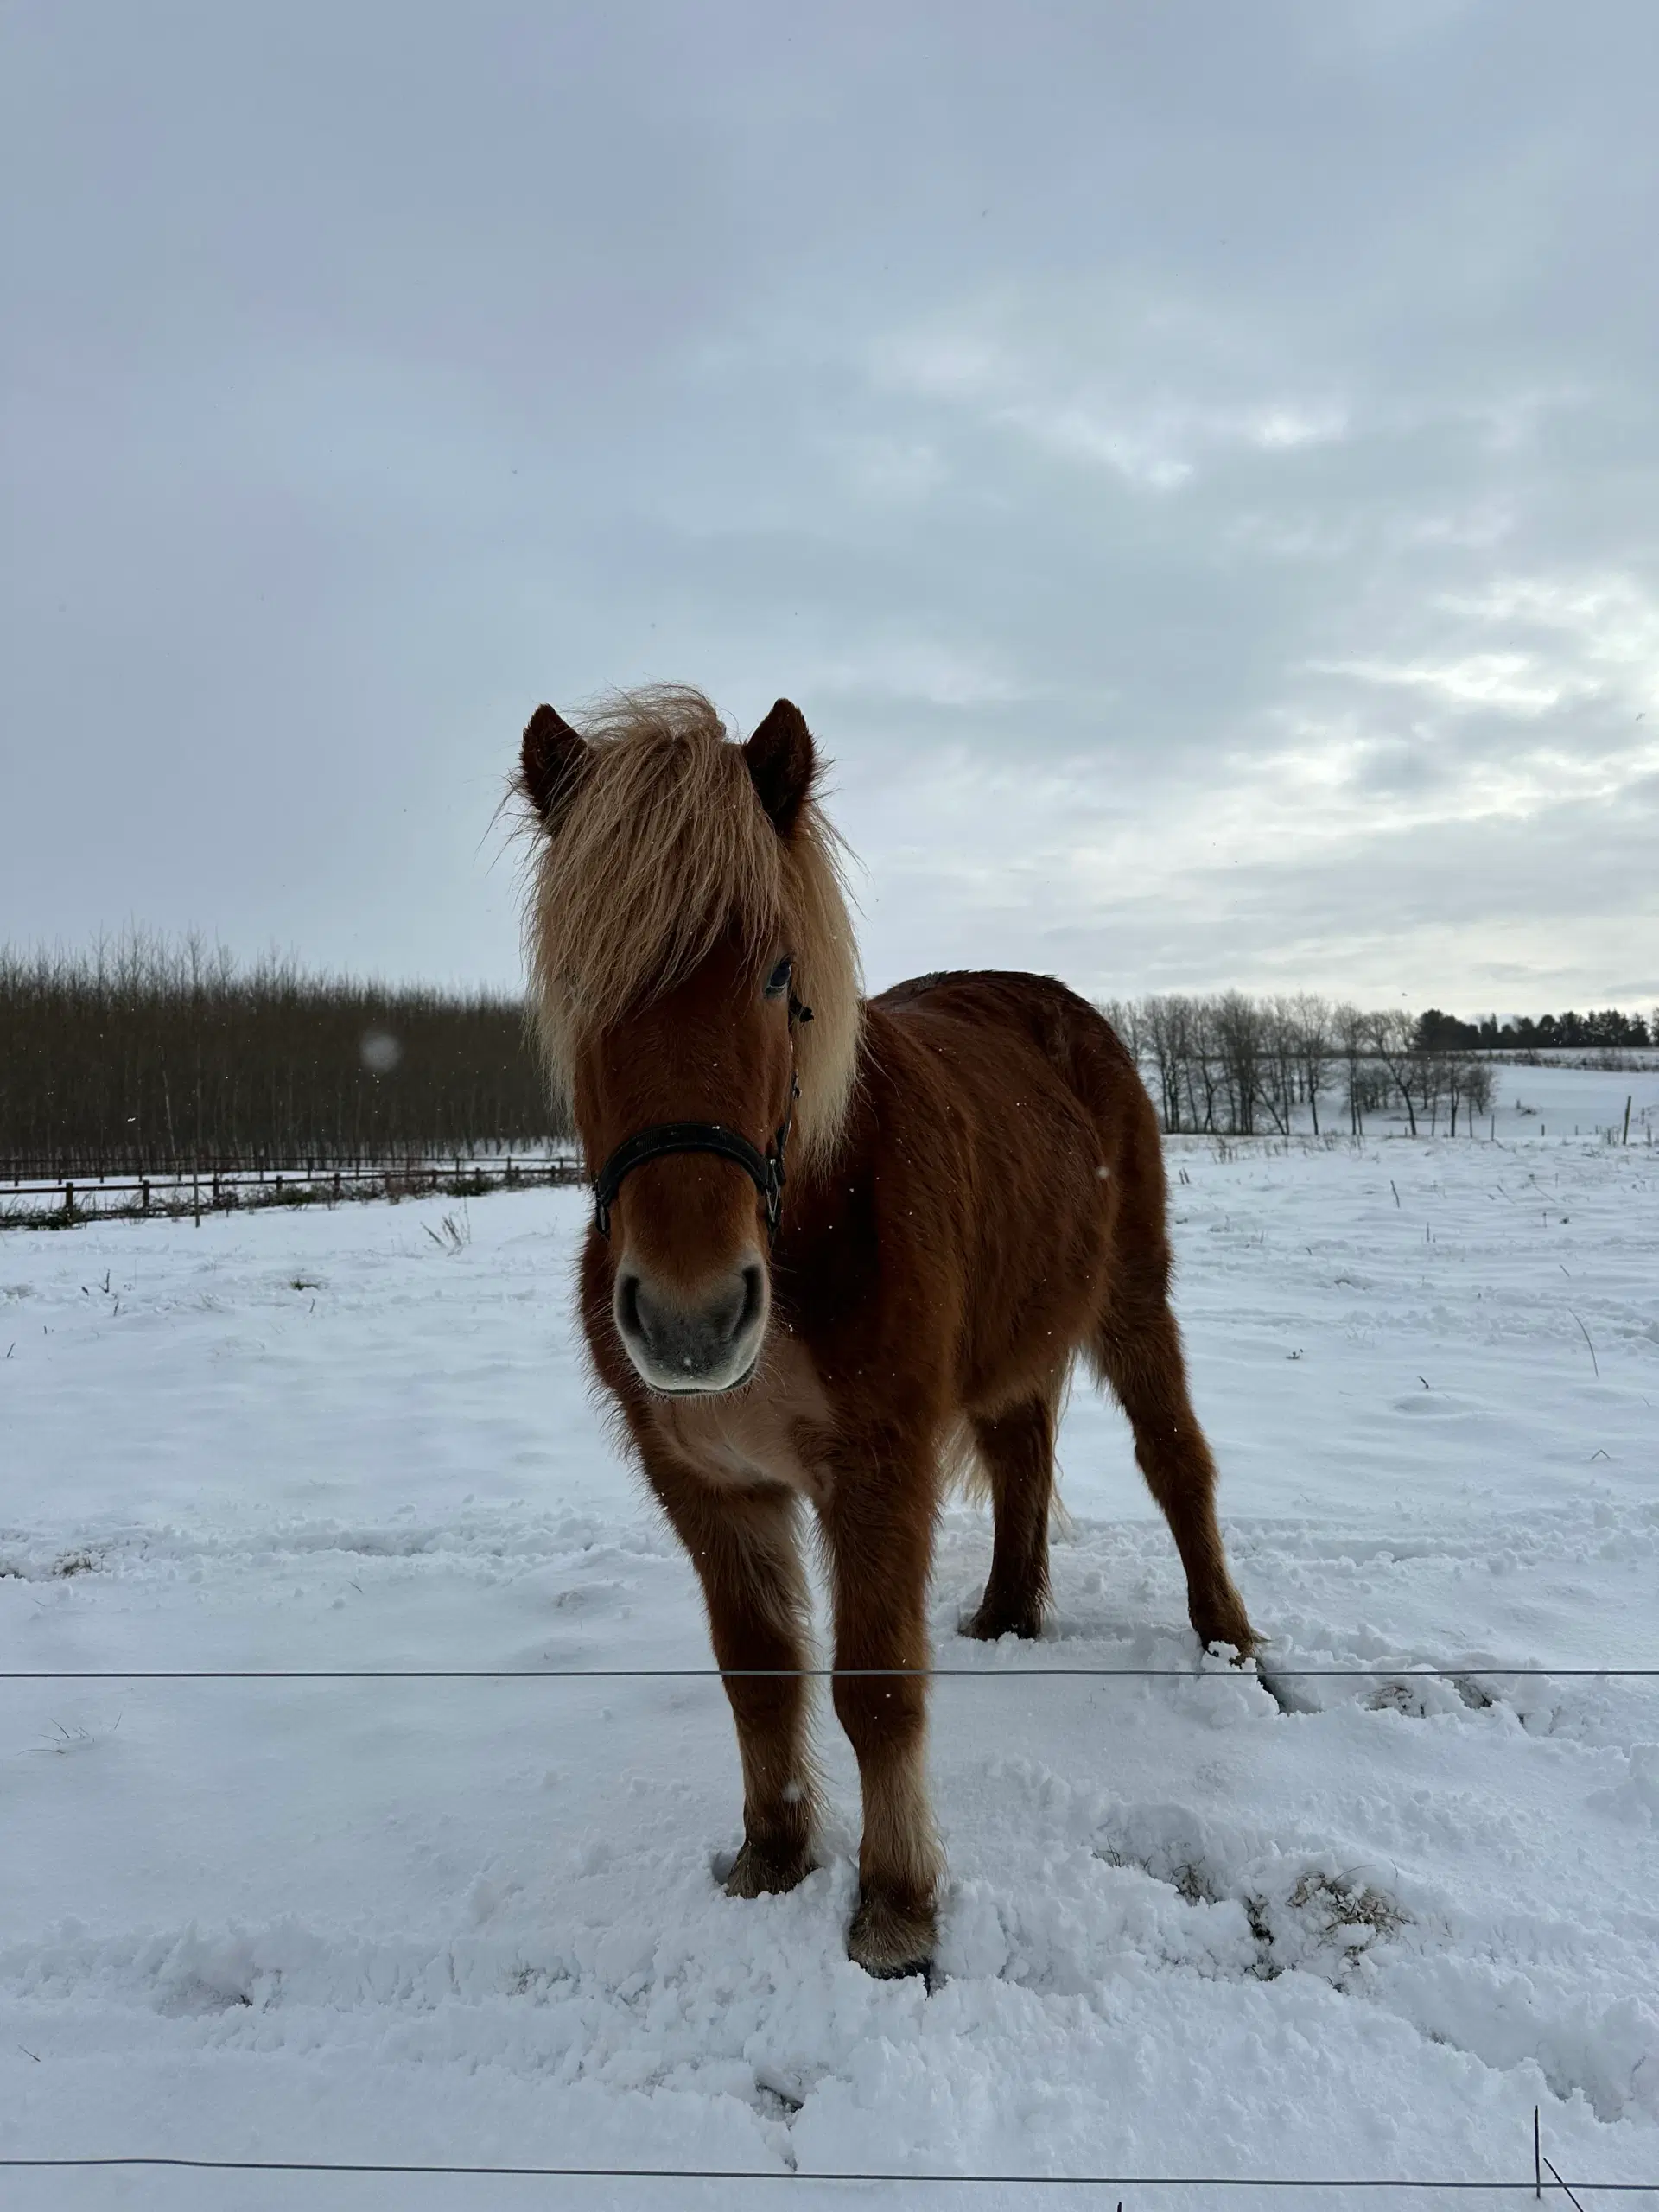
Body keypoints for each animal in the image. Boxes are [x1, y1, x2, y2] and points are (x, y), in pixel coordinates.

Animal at [519, 681, 1256, 1981]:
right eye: (578, 980)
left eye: (777, 974)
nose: (693, 1317)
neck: (803, 1220)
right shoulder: (709, 1486)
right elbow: (761, 1678)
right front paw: (771, 1856)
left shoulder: (878, 1466)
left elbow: (873, 1689)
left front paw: (897, 1905)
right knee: (1021, 1453)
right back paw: (1009, 1614)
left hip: (1131, 1299)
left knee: (1177, 1461)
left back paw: (1227, 1644)